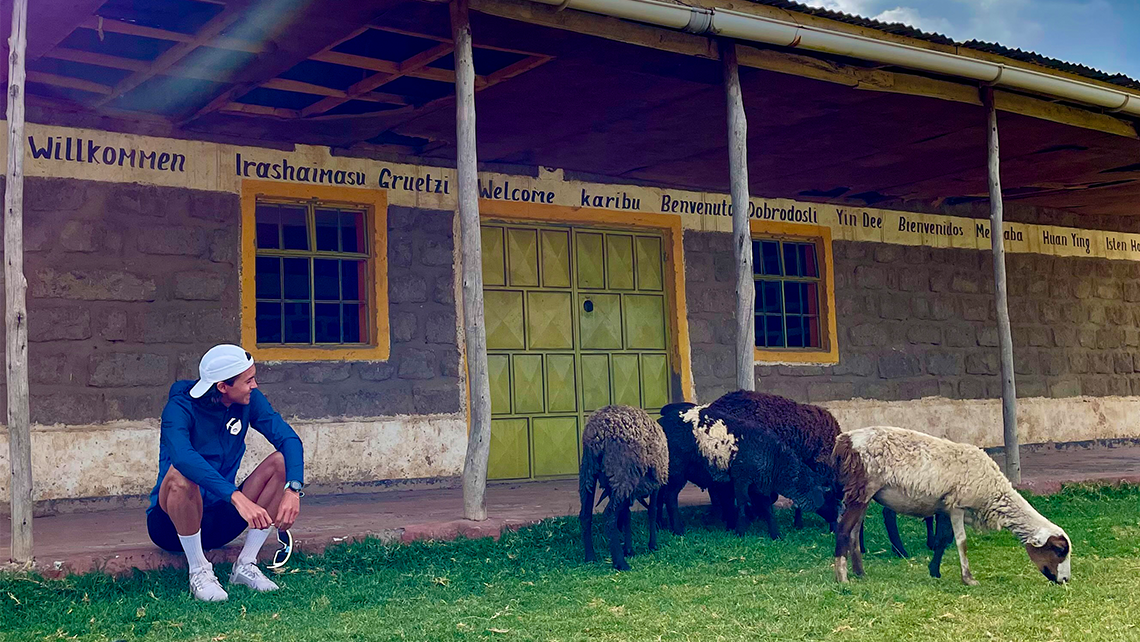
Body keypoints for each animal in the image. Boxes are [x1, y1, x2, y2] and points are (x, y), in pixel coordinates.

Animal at [829, 426, 1067, 588]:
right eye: (1059, 550)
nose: (1065, 579)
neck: (994, 492)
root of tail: (844, 441)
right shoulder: (958, 506)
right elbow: (961, 543)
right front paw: (968, 579)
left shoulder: (944, 507)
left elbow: (943, 540)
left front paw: (934, 572)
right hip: (862, 489)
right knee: (843, 530)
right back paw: (842, 578)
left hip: (864, 494)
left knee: (853, 533)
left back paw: (860, 573)